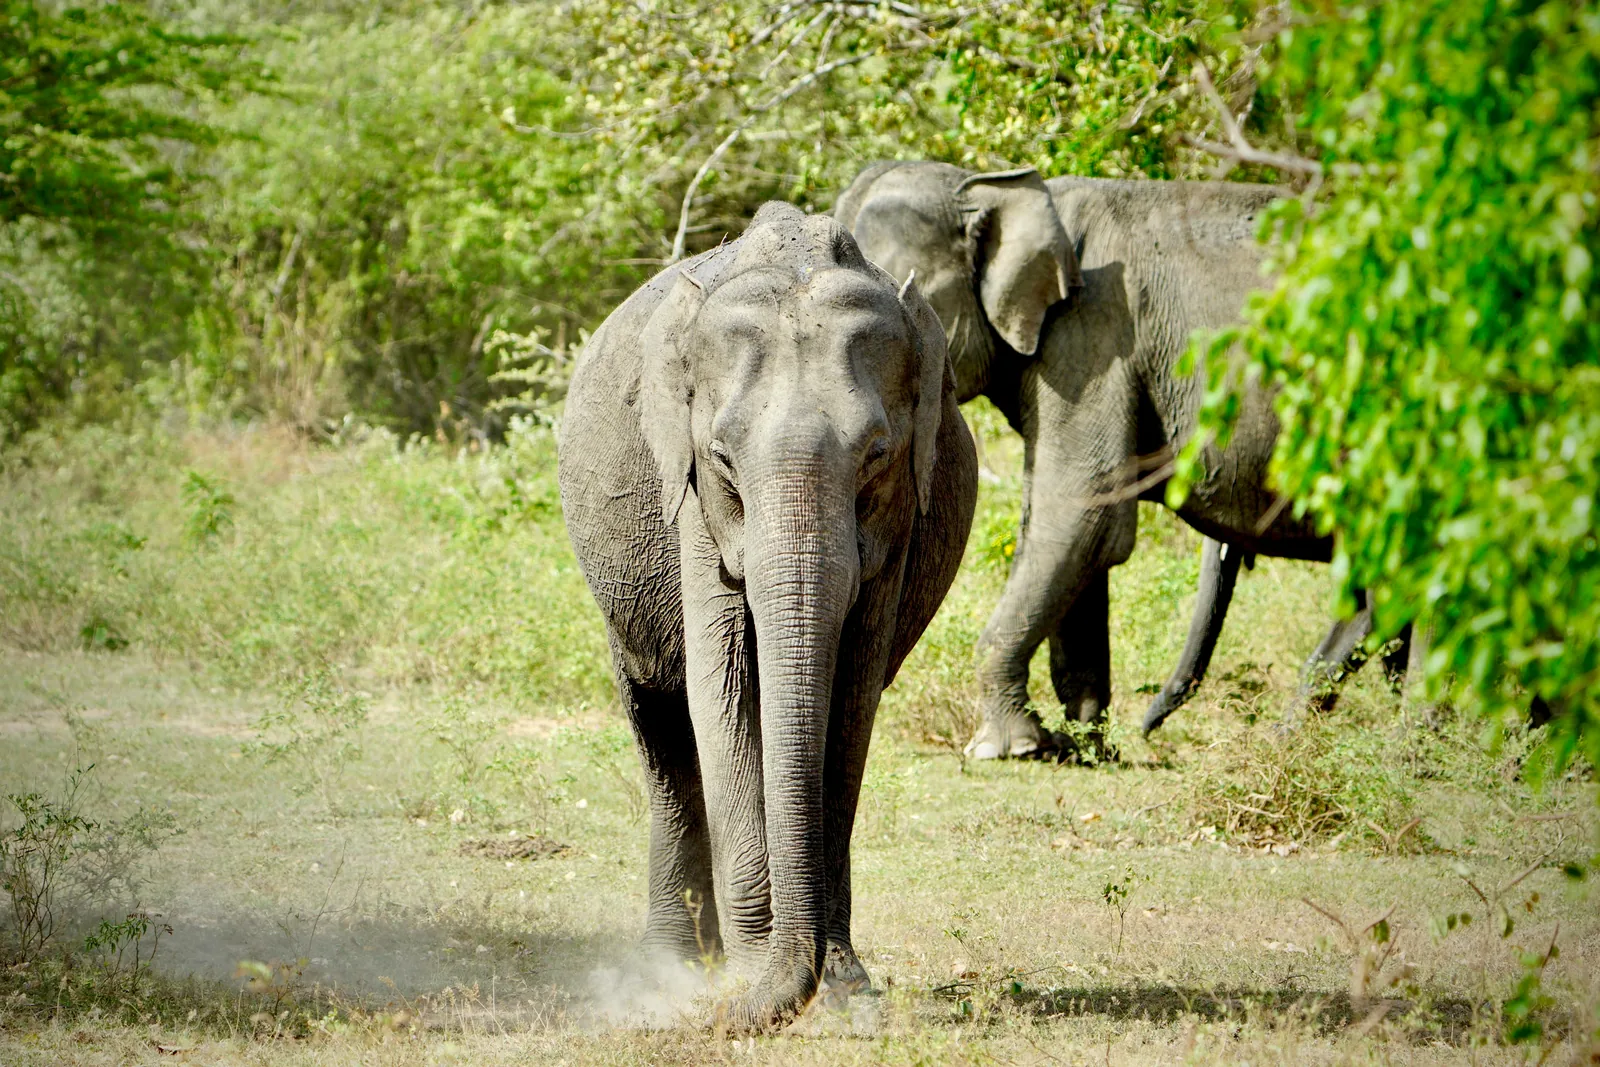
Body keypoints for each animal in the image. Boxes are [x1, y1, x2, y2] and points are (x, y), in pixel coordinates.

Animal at [557, 202, 978, 1029]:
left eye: (876, 455)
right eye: (722, 457)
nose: (779, 993)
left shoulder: (898, 521)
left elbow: (851, 702)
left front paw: (847, 989)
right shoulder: (690, 498)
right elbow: (721, 692)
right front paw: (752, 977)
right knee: (661, 725)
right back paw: (679, 968)